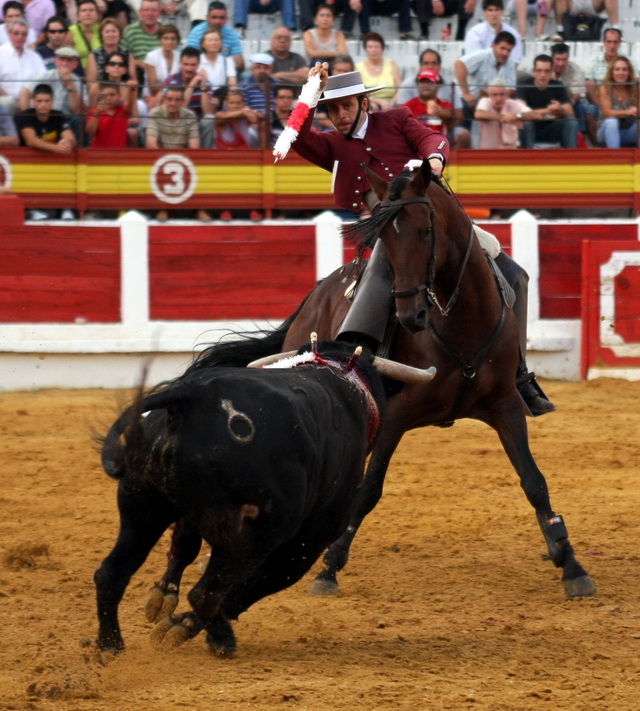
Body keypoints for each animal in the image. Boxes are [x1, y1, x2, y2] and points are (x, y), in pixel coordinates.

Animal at [92, 342, 388, 660]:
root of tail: (193, 397)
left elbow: (185, 547)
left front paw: (168, 611)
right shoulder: (304, 546)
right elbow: (251, 587)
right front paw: (182, 626)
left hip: (141, 512)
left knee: (111, 573)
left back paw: (111, 646)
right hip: (248, 537)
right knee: (206, 593)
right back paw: (221, 638)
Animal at [140, 163, 596, 636]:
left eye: (426, 229)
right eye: (385, 241)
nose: (412, 315)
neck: (460, 322)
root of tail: (317, 293)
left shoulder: (505, 406)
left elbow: (534, 482)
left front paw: (571, 563)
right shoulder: (395, 418)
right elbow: (368, 491)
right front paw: (329, 568)